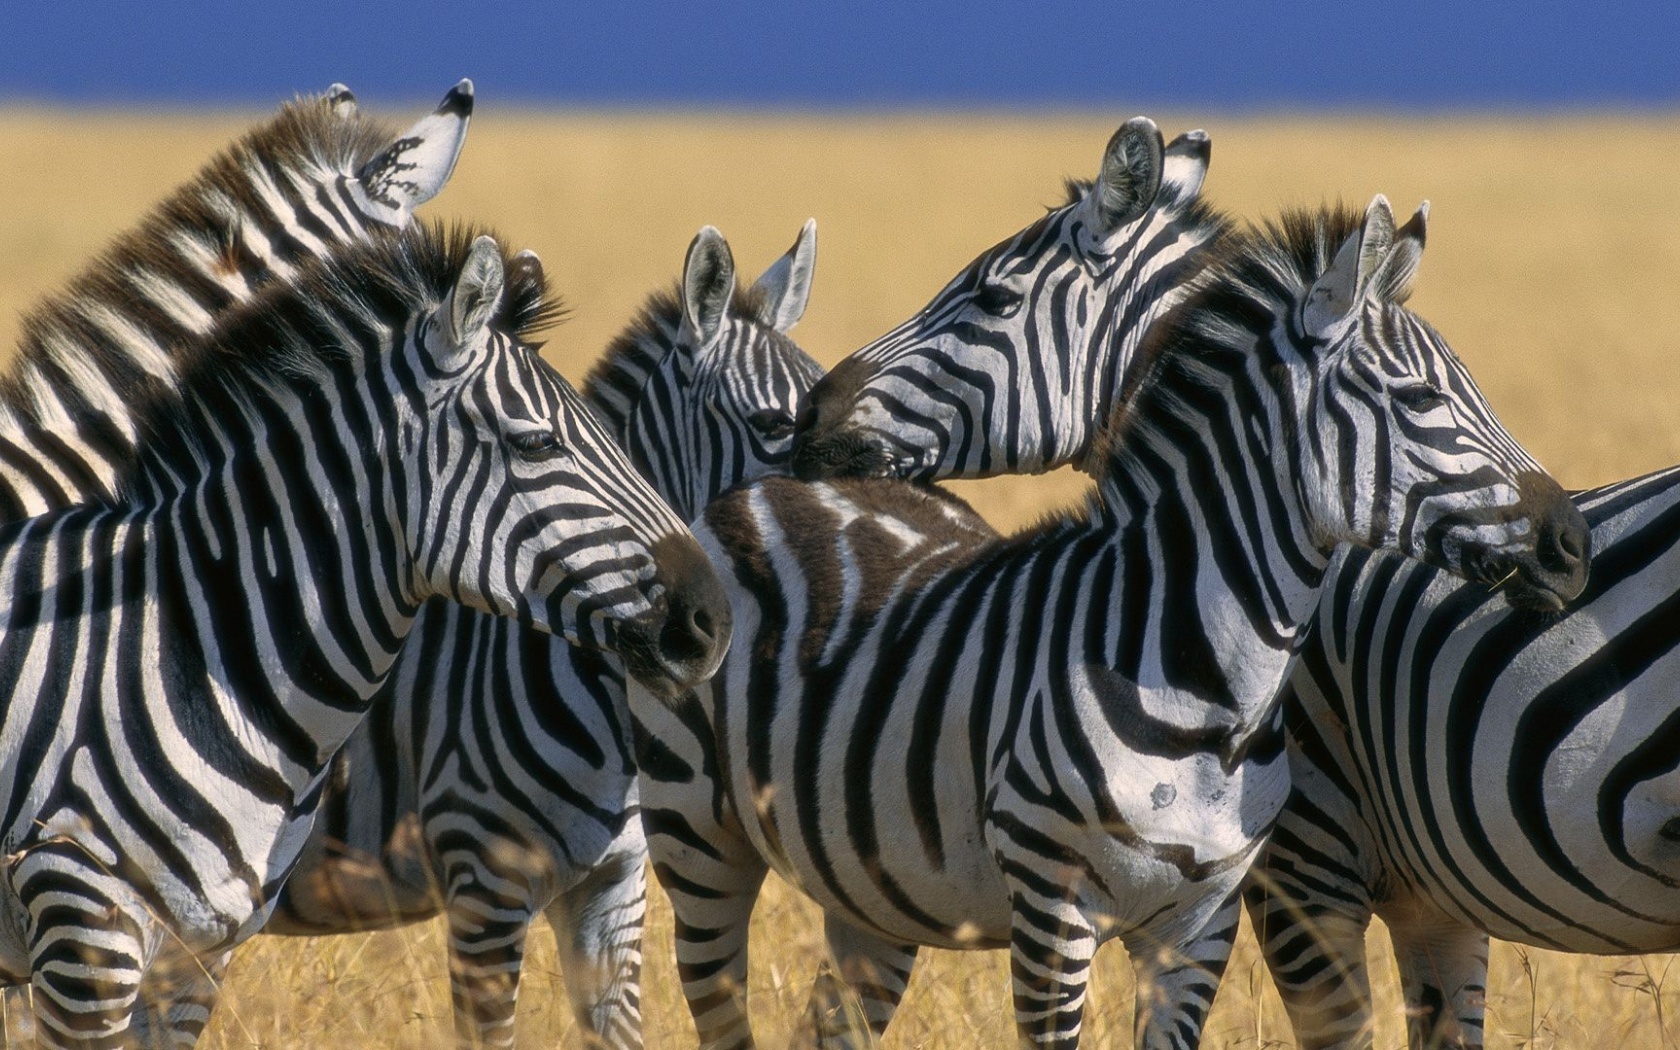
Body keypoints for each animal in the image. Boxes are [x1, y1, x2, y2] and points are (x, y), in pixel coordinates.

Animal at [638, 198, 1585, 1048]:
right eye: (1420, 396)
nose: (1571, 542)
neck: (1211, 693)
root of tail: (759, 484)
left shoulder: (1201, 923)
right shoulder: (1054, 908)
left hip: (868, 881)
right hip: (697, 838)